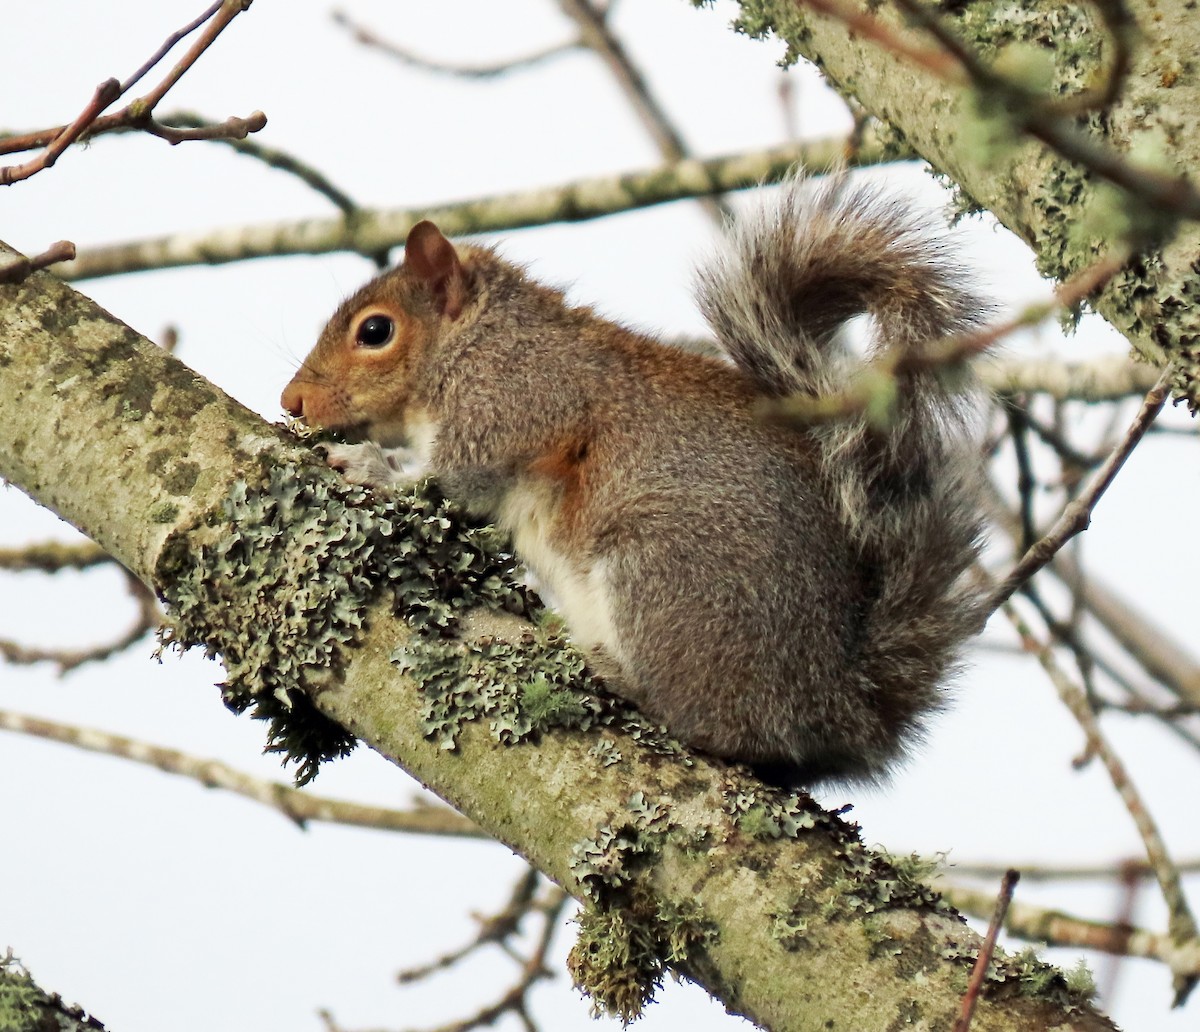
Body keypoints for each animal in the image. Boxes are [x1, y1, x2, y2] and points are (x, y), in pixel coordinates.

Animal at [281, 175, 986, 787]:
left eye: (375, 331)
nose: (293, 402)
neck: (476, 339)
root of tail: (837, 703)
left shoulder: (513, 402)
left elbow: (449, 483)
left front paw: (367, 464)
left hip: (659, 568)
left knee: (709, 721)